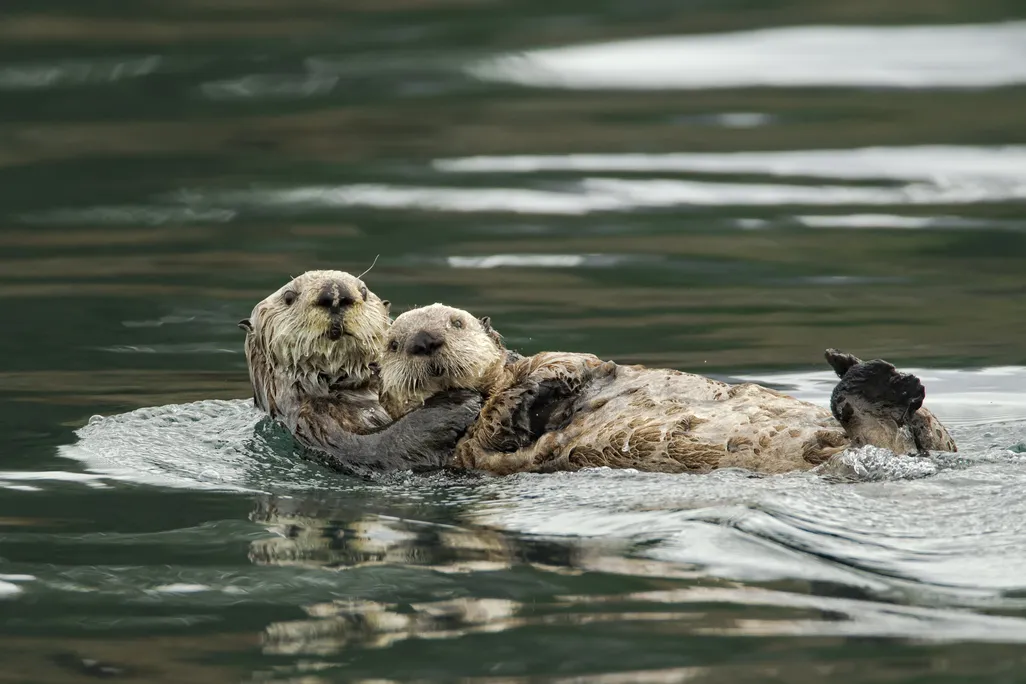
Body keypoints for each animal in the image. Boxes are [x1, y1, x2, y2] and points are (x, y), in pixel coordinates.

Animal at [238, 272, 482, 477]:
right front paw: (459, 401)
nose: (335, 294)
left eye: (363, 291)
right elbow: (376, 447)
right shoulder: (315, 424)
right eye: (289, 296)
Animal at [378, 304, 957, 476]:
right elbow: (493, 424)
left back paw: (864, 373)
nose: (425, 341)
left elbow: (570, 363)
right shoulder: (467, 451)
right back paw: (871, 384)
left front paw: (550, 376)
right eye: (392, 342)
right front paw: (522, 393)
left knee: (930, 429)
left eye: (455, 322)